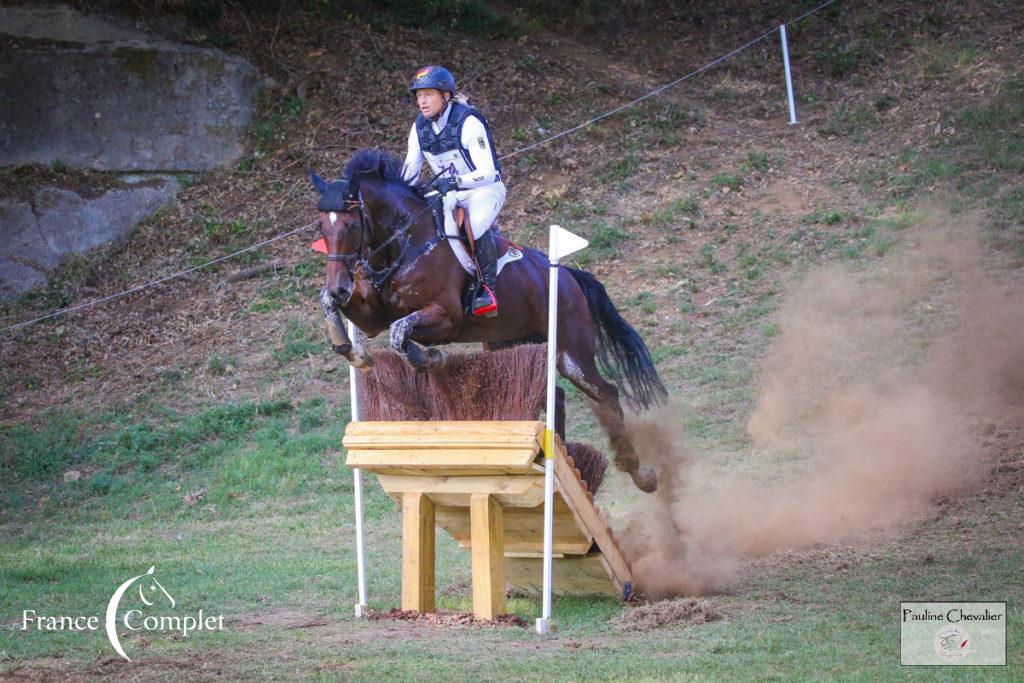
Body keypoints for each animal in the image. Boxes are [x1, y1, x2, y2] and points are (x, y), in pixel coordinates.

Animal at [309, 149, 671, 491]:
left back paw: (640, 474)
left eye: (351, 225)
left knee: (606, 392)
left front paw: (432, 358)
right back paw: (563, 460)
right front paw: (354, 351)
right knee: (557, 395)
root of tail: (569, 275)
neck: (405, 242)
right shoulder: (373, 319)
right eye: (322, 229)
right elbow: (333, 306)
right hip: (506, 344)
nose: (341, 286)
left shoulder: (447, 317)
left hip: (572, 351)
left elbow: (400, 334)